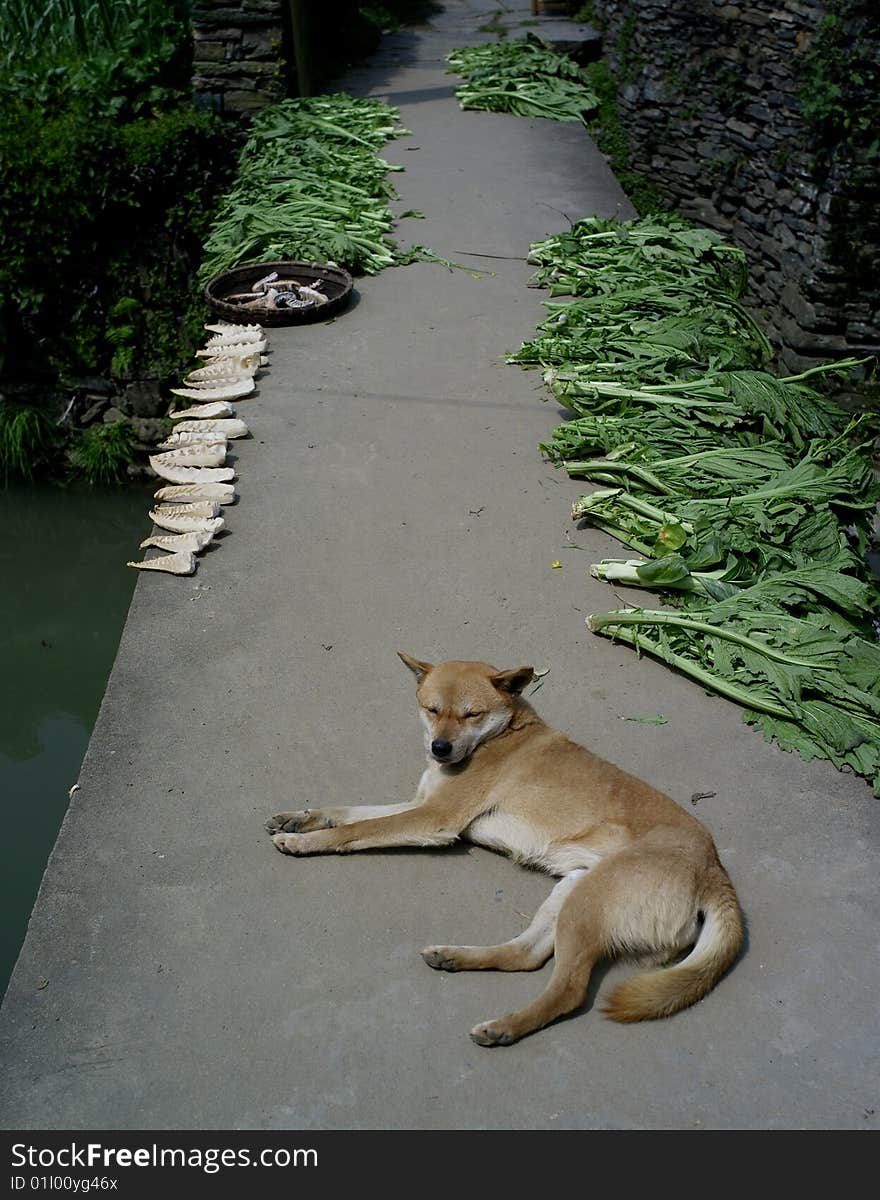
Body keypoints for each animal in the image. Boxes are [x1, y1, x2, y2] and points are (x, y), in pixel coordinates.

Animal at [262, 652, 739, 1046]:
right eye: (432, 709)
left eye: (471, 714)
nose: (439, 748)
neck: (500, 735)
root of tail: (714, 870)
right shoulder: (421, 805)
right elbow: (350, 813)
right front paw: (300, 818)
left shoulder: (434, 820)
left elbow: (354, 830)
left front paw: (304, 842)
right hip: (573, 892)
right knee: (525, 956)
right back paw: (455, 958)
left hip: (588, 902)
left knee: (569, 990)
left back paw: (505, 1027)